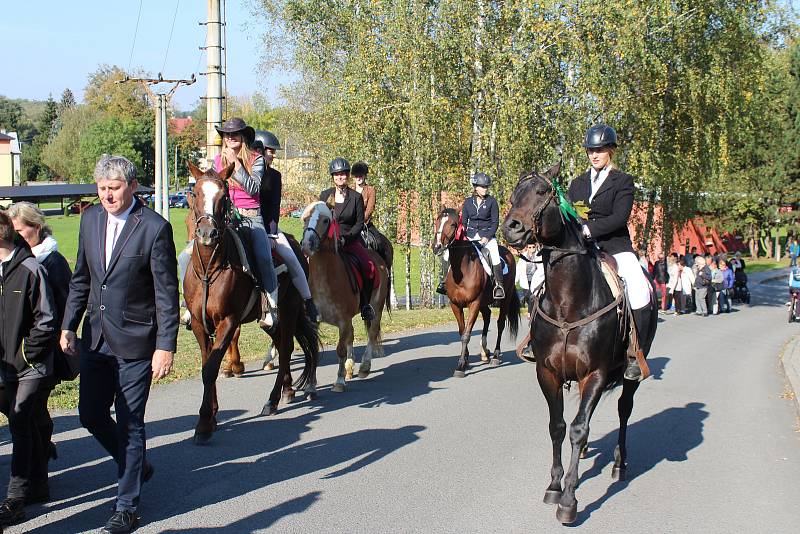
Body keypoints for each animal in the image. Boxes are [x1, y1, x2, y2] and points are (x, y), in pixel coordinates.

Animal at [184, 162, 318, 444]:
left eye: (224, 197)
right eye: (196, 194)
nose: (207, 233)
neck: (210, 270)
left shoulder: (227, 321)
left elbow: (210, 368)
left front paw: (204, 423)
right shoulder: (201, 325)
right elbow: (206, 365)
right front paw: (213, 415)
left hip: (289, 311)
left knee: (286, 348)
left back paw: (273, 399)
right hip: (269, 320)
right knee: (282, 344)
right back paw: (287, 389)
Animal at [300, 201, 390, 394]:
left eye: (326, 220)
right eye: (305, 218)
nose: (306, 244)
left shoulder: (343, 320)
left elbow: (340, 349)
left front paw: (339, 381)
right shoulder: (314, 321)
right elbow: (314, 350)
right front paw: (311, 385)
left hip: (376, 308)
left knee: (371, 332)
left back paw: (364, 367)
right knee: (352, 335)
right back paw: (350, 368)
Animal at [434, 207, 520, 378]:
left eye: (452, 224)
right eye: (437, 221)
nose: (437, 246)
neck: (461, 271)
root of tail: (508, 252)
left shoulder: (474, 304)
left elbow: (466, 335)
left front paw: (460, 365)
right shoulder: (455, 304)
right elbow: (461, 331)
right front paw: (466, 358)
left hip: (503, 300)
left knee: (500, 323)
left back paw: (495, 355)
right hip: (484, 302)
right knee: (487, 315)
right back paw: (485, 352)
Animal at [504, 161, 660, 524]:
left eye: (543, 192)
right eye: (516, 191)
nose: (511, 228)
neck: (569, 300)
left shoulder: (597, 373)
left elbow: (577, 429)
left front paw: (568, 500)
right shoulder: (547, 373)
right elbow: (558, 426)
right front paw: (554, 485)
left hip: (629, 375)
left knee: (623, 410)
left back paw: (619, 463)